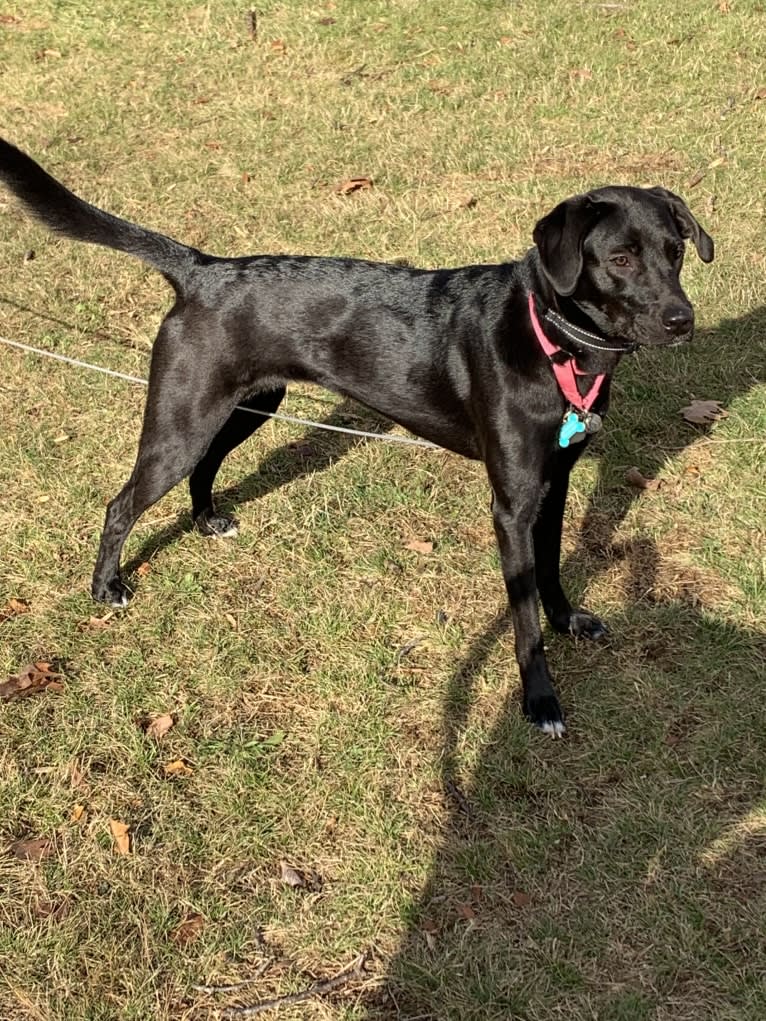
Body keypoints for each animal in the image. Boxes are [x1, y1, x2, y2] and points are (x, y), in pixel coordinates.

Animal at [1, 141, 714, 735]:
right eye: (619, 259)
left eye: (675, 251)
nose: (681, 320)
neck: (554, 340)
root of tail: (204, 270)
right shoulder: (511, 504)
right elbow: (523, 616)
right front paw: (540, 700)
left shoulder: (555, 482)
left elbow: (553, 569)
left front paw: (569, 620)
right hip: (182, 418)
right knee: (120, 504)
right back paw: (106, 587)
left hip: (250, 405)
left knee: (205, 467)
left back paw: (207, 521)